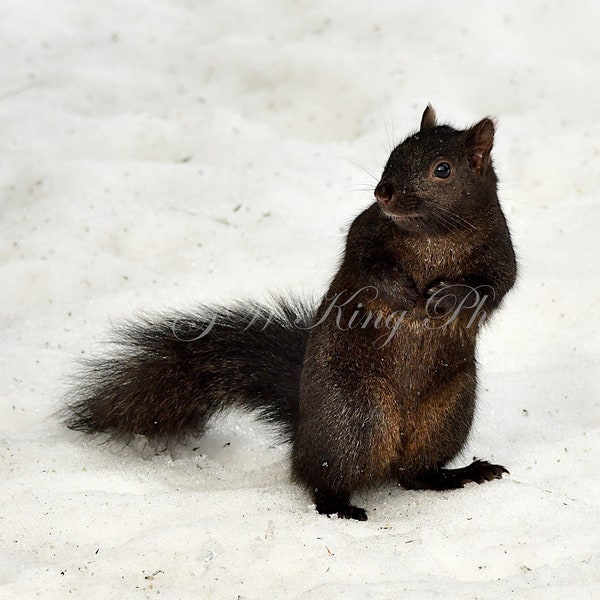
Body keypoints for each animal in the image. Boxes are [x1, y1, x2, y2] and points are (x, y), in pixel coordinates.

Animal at [64, 106, 516, 520]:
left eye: (443, 169)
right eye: (396, 151)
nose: (383, 193)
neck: (433, 235)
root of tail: (302, 434)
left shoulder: (499, 249)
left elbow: (495, 286)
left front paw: (450, 296)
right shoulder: (365, 231)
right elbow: (366, 266)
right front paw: (402, 291)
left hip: (447, 414)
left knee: (415, 474)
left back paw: (460, 474)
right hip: (354, 419)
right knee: (323, 478)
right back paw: (339, 507)